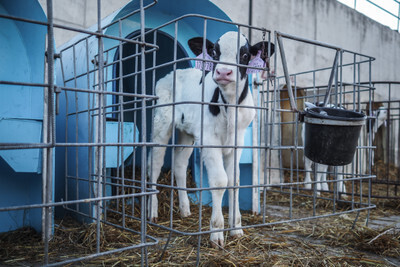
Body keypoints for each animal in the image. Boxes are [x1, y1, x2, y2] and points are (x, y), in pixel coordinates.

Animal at [147, 31, 276, 249]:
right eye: (215, 52)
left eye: (244, 55)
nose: (224, 72)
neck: (229, 105)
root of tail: (174, 73)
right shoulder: (209, 139)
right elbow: (219, 180)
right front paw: (216, 232)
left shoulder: (238, 140)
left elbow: (235, 180)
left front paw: (236, 228)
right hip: (161, 123)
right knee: (154, 164)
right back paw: (153, 212)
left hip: (188, 132)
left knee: (179, 163)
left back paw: (185, 209)